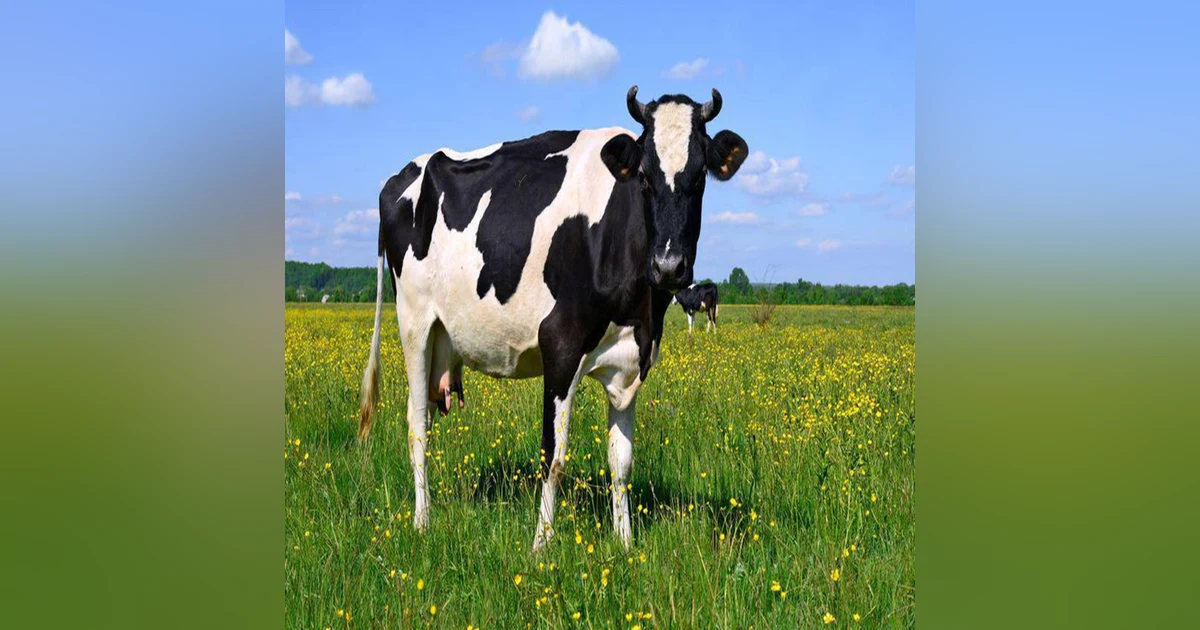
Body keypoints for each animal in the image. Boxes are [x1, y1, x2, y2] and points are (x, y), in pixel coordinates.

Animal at [357, 86, 748, 551]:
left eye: (700, 177)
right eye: (644, 178)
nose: (669, 266)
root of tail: (403, 174)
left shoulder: (631, 360)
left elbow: (622, 461)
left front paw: (625, 542)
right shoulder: (559, 346)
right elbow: (554, 456)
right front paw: (541, 544)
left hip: (442, 338)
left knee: (428, 416)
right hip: (414, 322)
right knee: (417, 424)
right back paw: (422, 520)